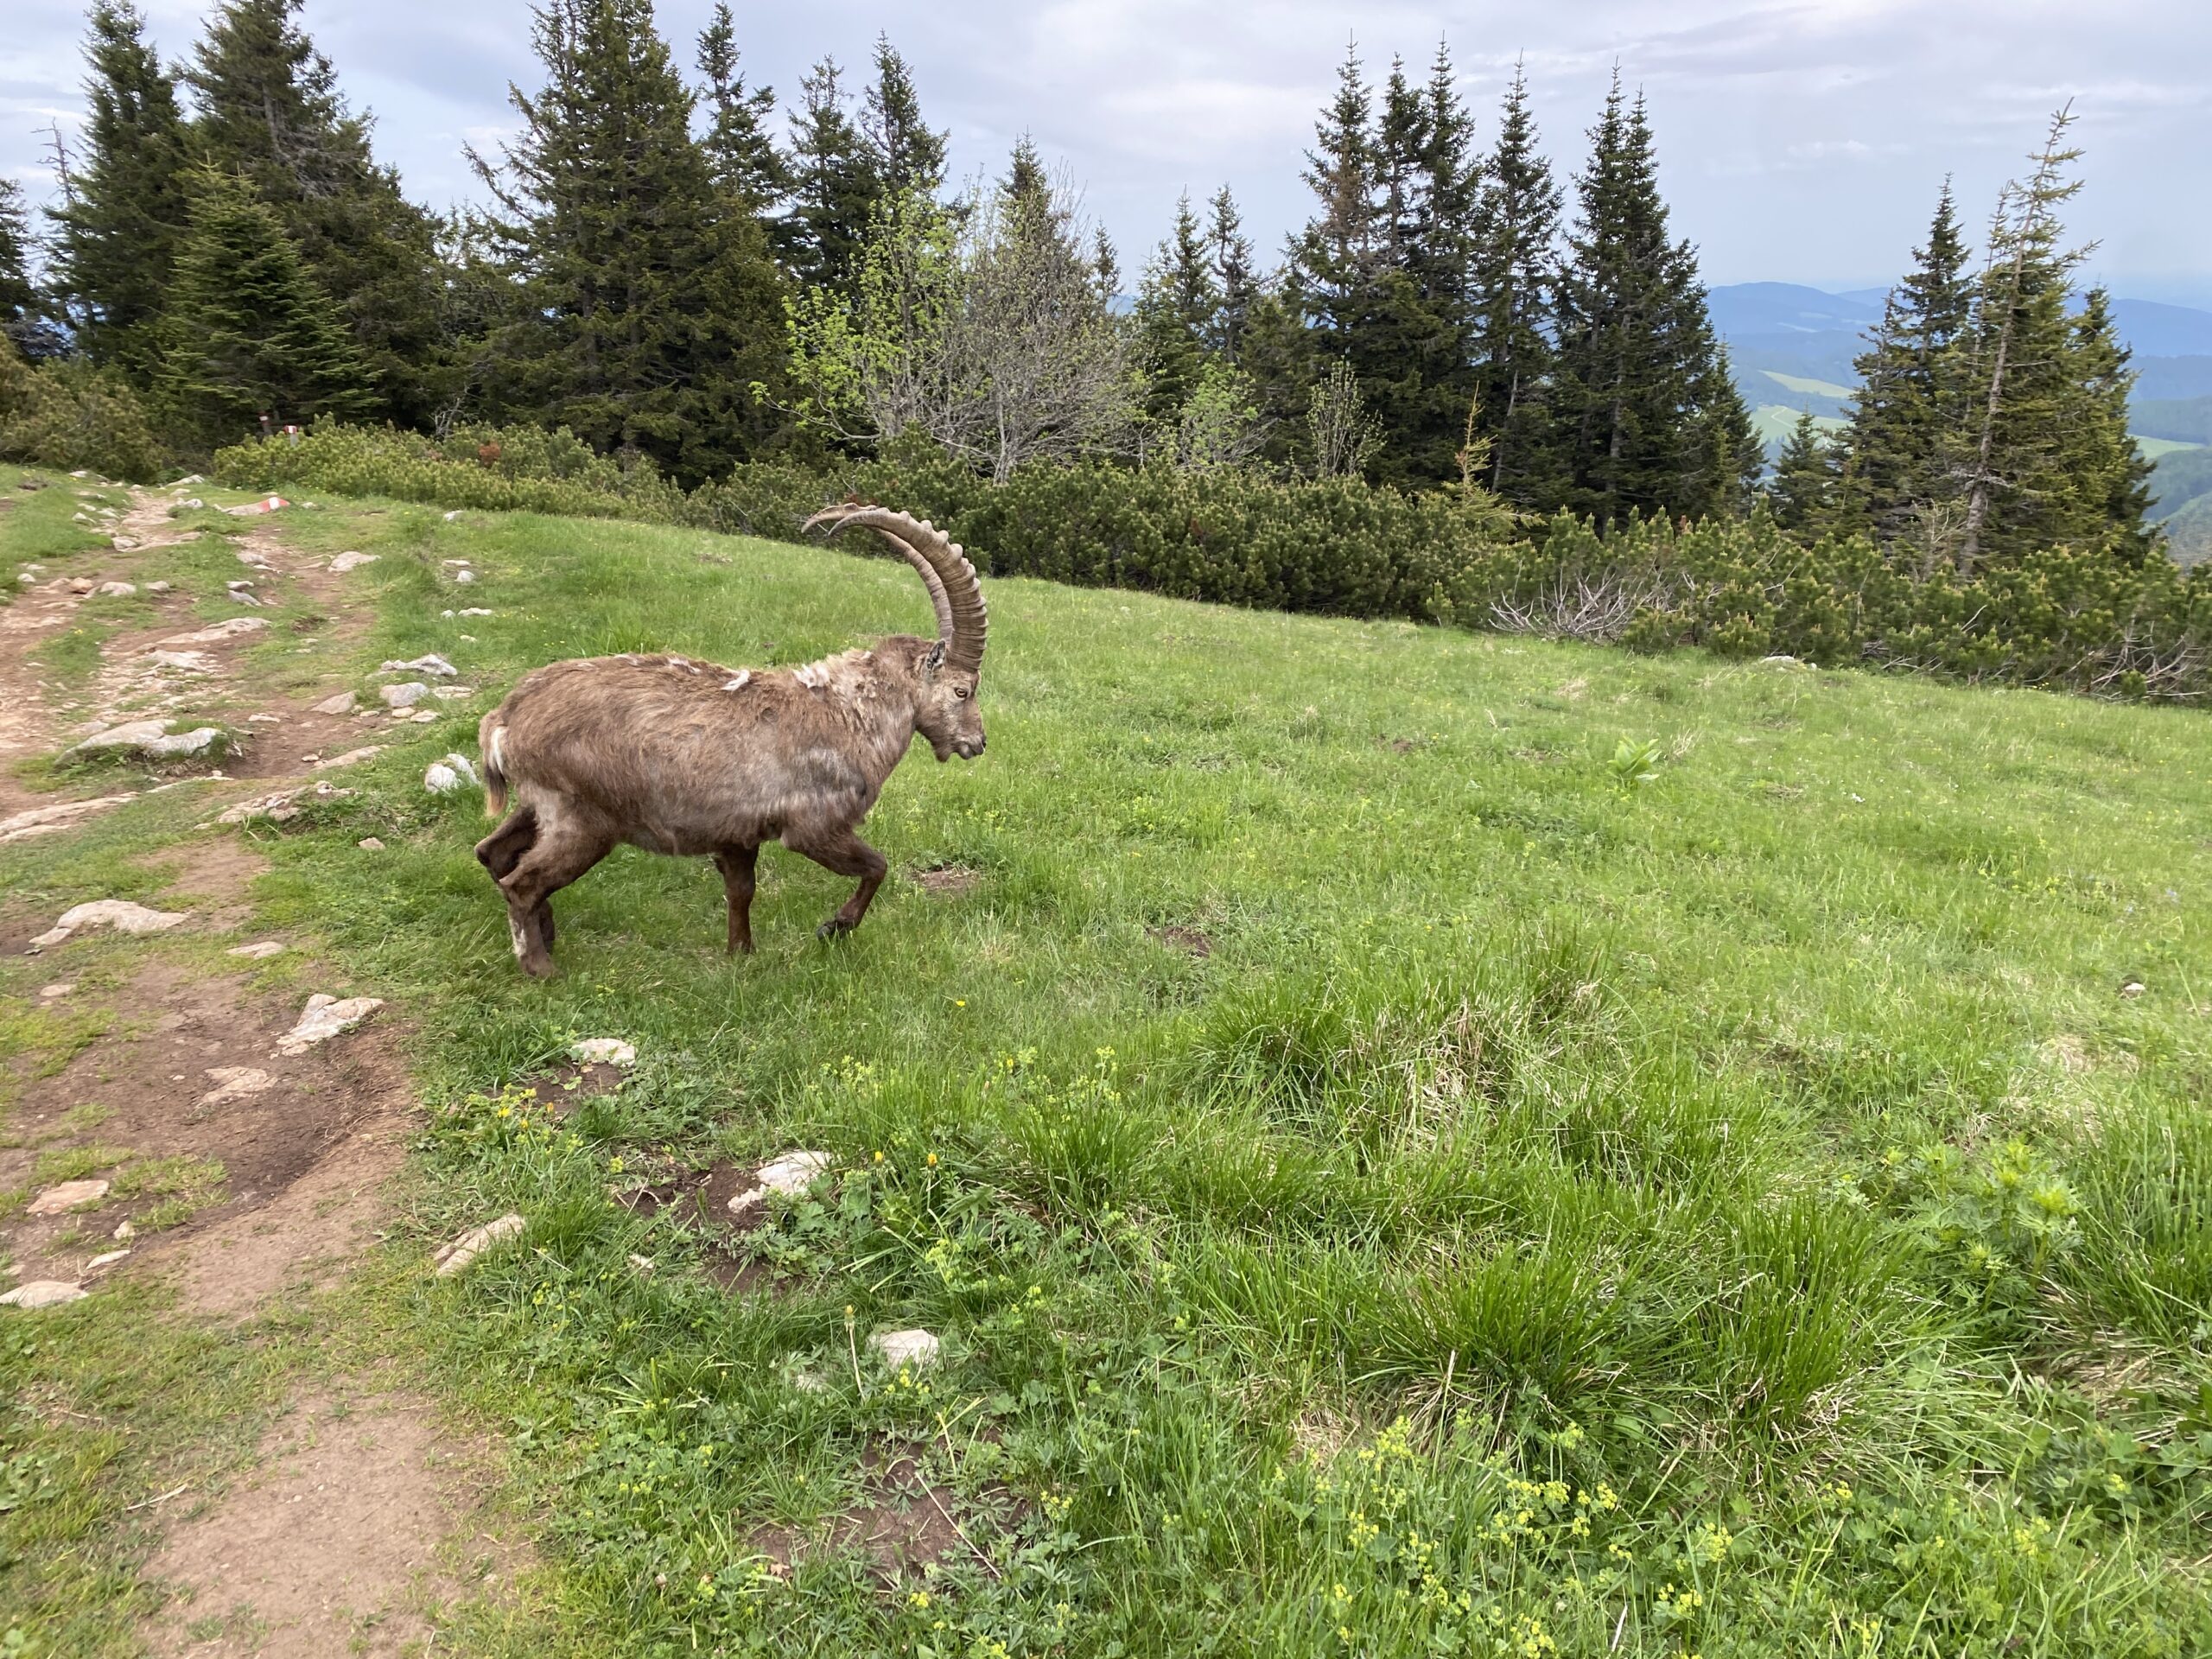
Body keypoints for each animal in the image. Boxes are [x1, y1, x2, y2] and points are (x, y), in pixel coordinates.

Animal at [472, 506, 987, 976]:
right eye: (963, 690)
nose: (977, 743)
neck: (851, 714)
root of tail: (505, 718)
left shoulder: (737, 833)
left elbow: (741, 892)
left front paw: (741, 954)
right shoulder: (814, 827)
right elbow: (877, 866)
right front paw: (833, 927)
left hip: (542, 805)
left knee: (493, 852)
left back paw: (548, 933)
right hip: (585, 822)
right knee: (521, 882)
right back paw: (542, 967)